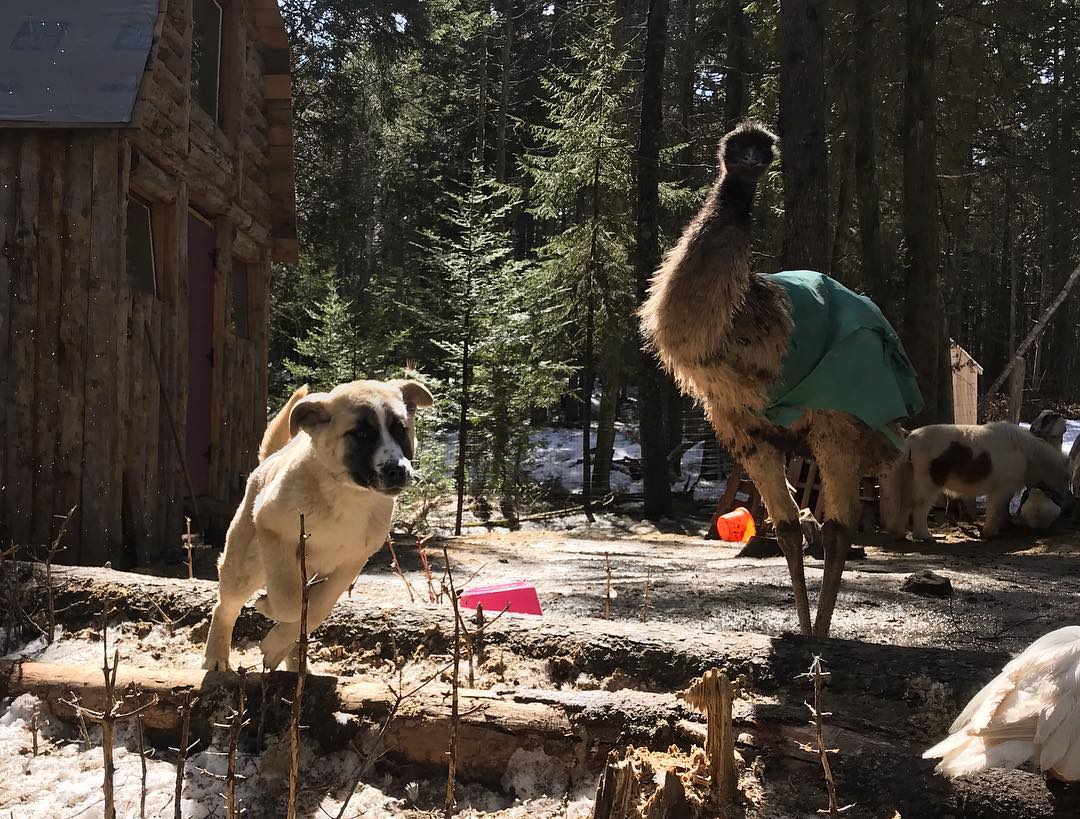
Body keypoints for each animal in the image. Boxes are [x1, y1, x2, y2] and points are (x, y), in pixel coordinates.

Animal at [204, 378, 432, 674]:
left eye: (400, 429)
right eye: (361, 434)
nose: (397, 470)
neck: (347, 495)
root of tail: (270, 459)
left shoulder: (351, 562)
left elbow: (317, 609)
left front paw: (276, 645)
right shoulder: (273, 530)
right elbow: (288, 600)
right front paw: (268, 609)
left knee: (304, 617)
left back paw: (294, 663)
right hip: (246, 566)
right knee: (225, 607)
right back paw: (217, 658)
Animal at [881, 423, 1067, 544]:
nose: (1041, 532)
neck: (1026, 452)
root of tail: (911, 438)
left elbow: (1002, 509)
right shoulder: (1003, 489)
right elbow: (997, 509)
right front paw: (991, 532)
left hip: (908, 478)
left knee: (904, 503)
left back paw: (899, 533)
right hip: (929, 484)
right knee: (919, 506)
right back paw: (924, 535)